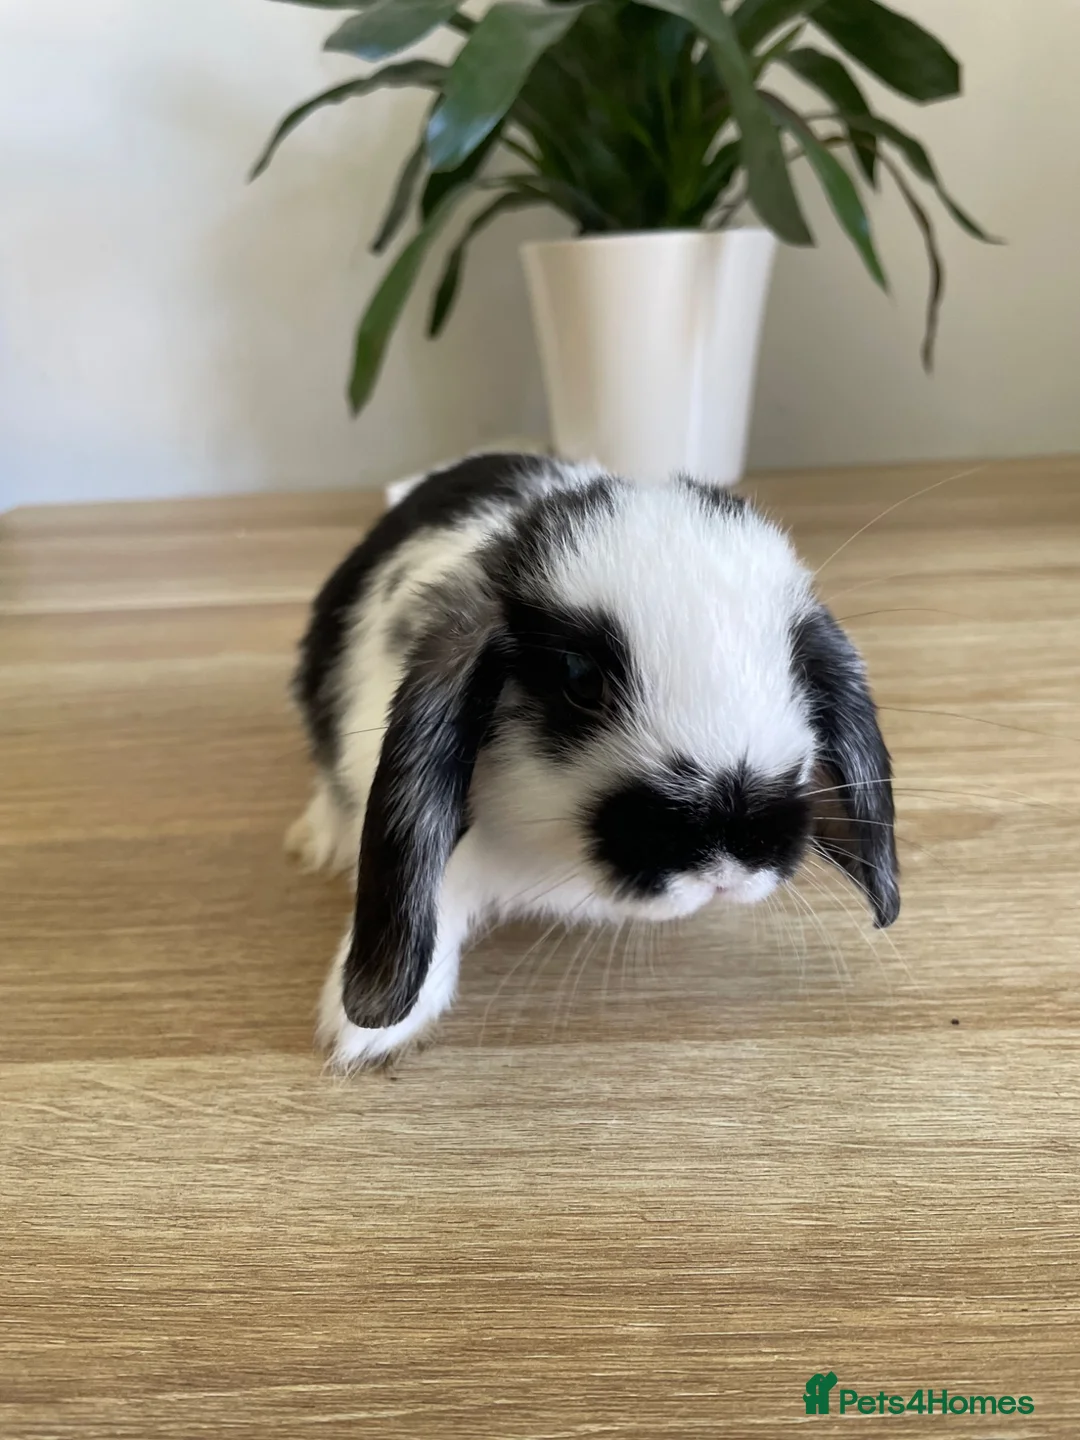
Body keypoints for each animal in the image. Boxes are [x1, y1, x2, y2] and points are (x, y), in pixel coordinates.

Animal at [287, 451, 899, 1070]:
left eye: (798, 668)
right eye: (580, 678)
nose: (729, 866)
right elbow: (438, 900)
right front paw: (365, 1035)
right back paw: (318, 838)